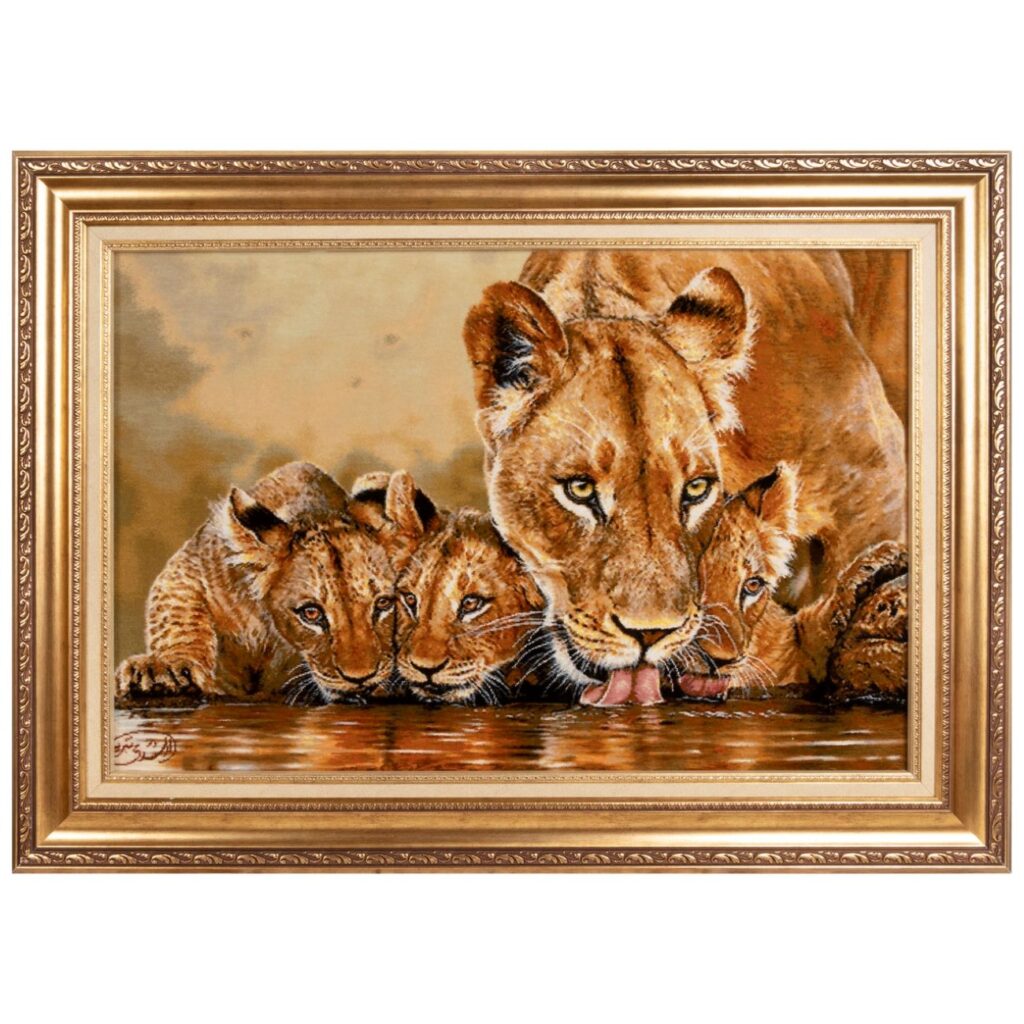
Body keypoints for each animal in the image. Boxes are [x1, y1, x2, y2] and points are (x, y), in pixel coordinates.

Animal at [115, 462, 412, 705]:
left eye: (383, 604)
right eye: (311, 613)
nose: (361, 679)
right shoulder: (191, 566)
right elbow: (176, 614)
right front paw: (165, 669)